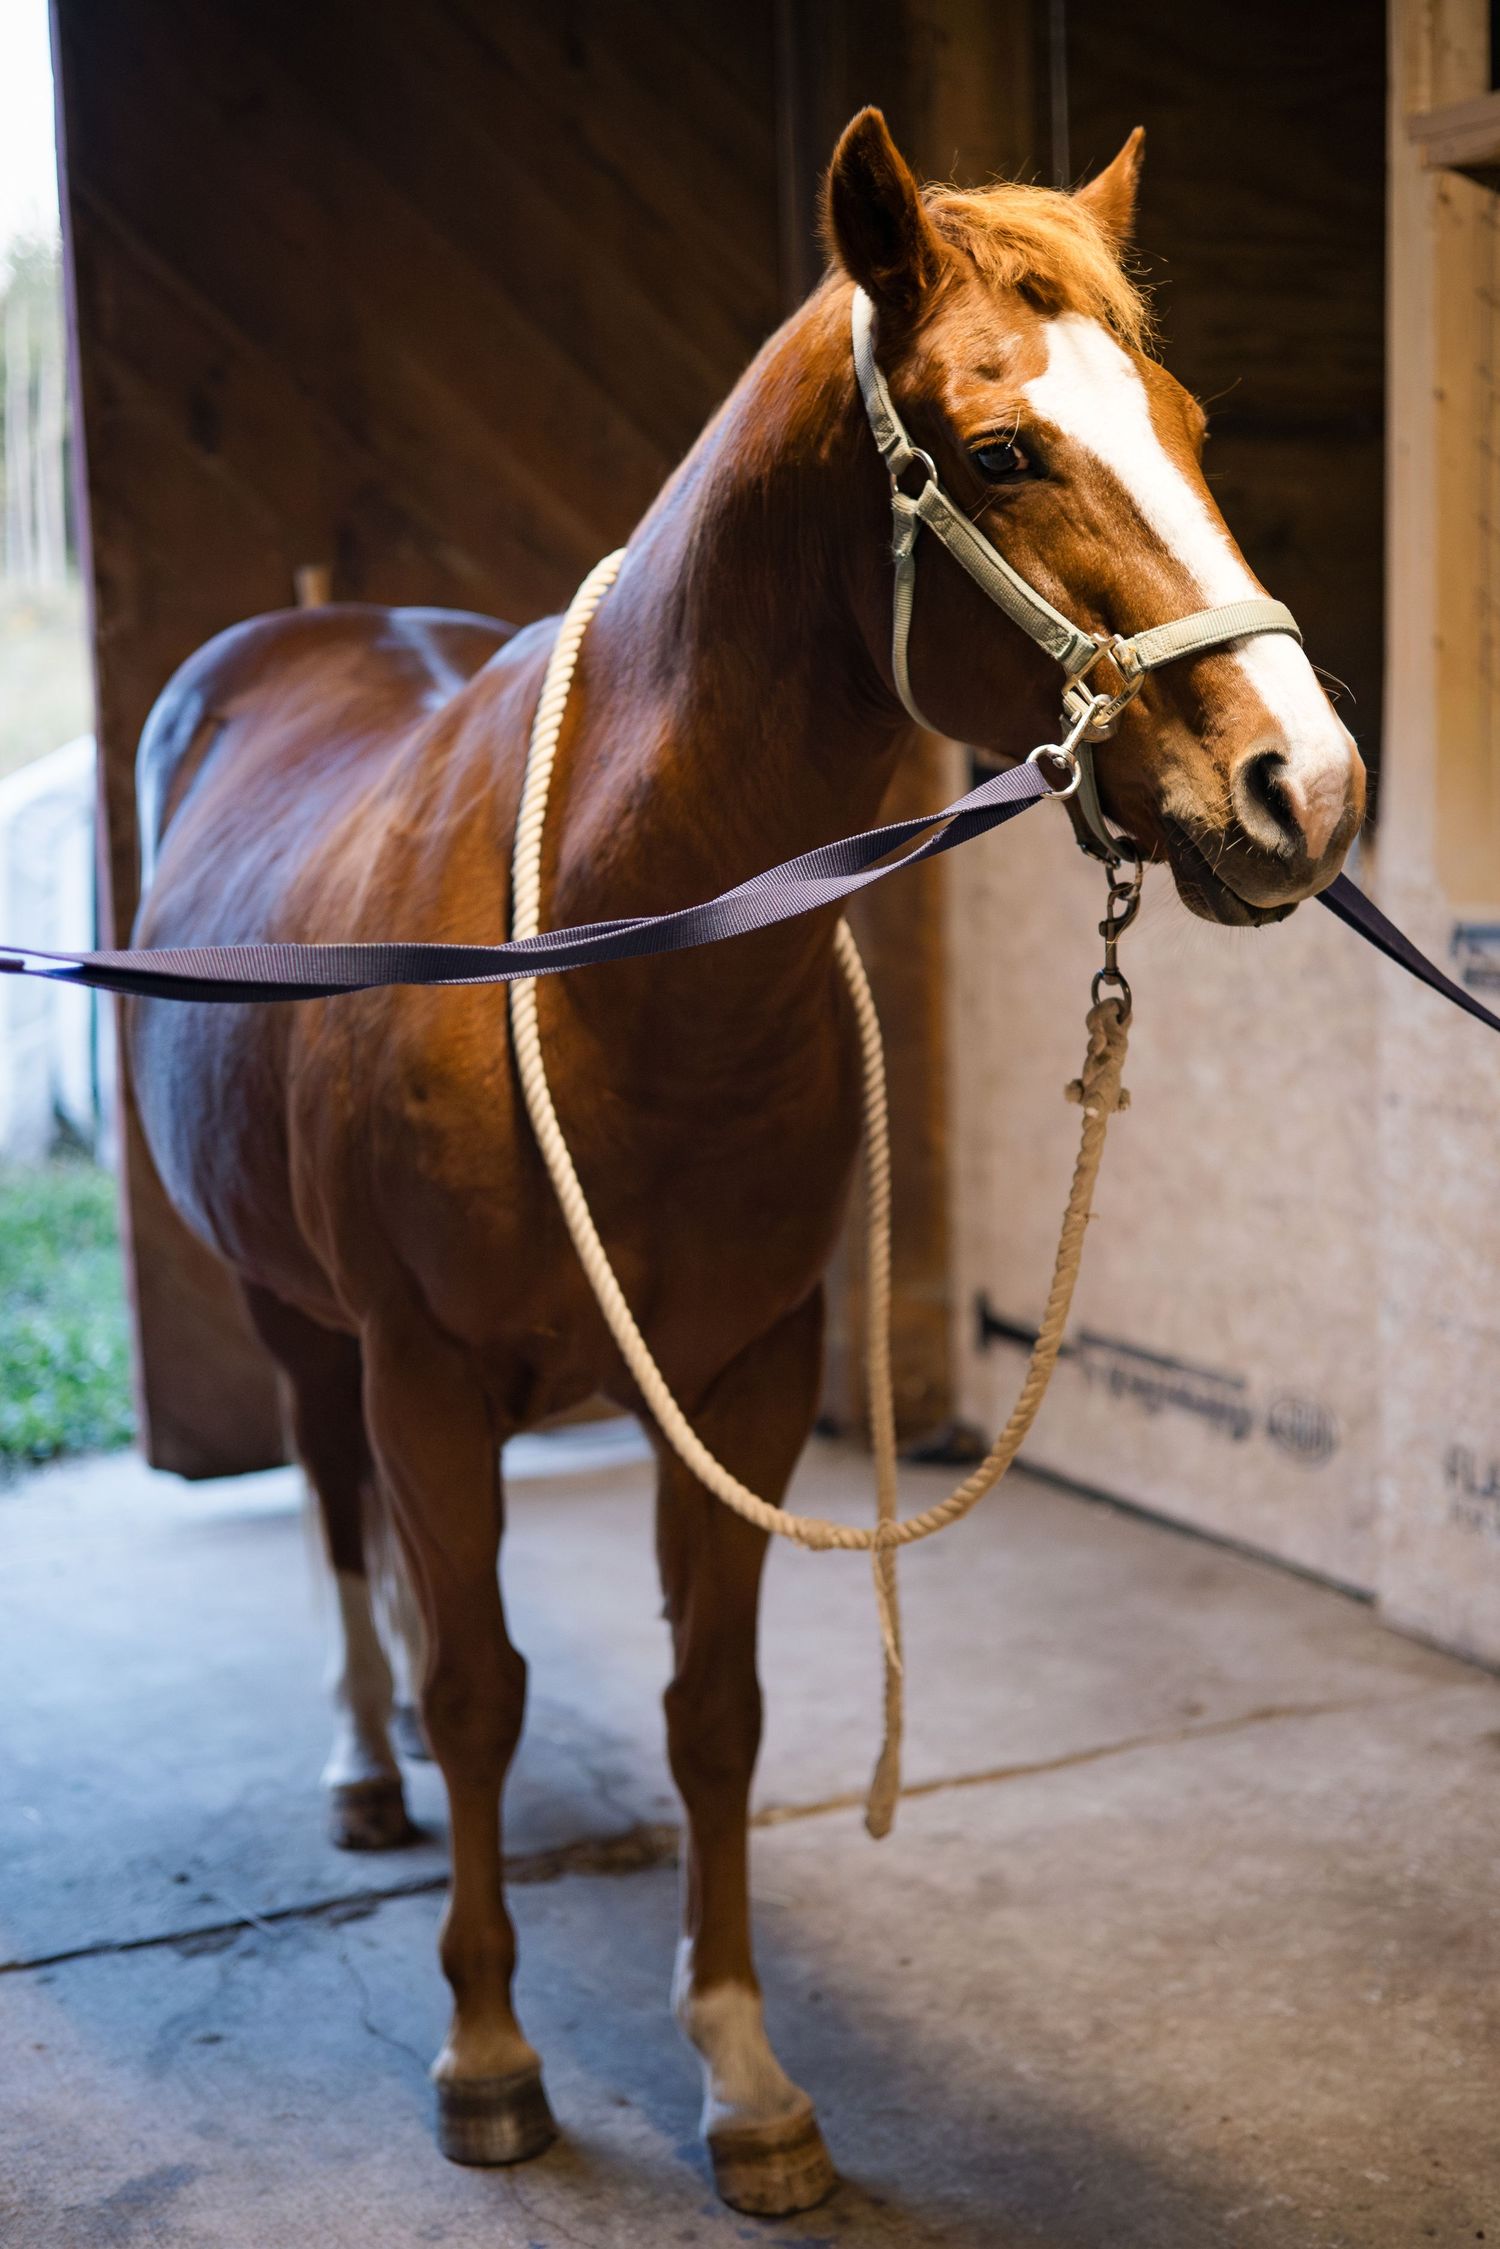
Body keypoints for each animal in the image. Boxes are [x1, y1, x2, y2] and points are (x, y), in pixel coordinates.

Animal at [126, 108, 1365, 2217]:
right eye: (1003, 449)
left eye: (1189, 420)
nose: (1311, 786)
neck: (612, 953)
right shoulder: (428, 1377)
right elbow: (483, 1688)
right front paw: (488, 2053)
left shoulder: (747, 1372)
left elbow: (717, 1711)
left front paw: (747, 2072)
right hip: (297, 1315)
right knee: (335, 1507)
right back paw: (363, 1763)